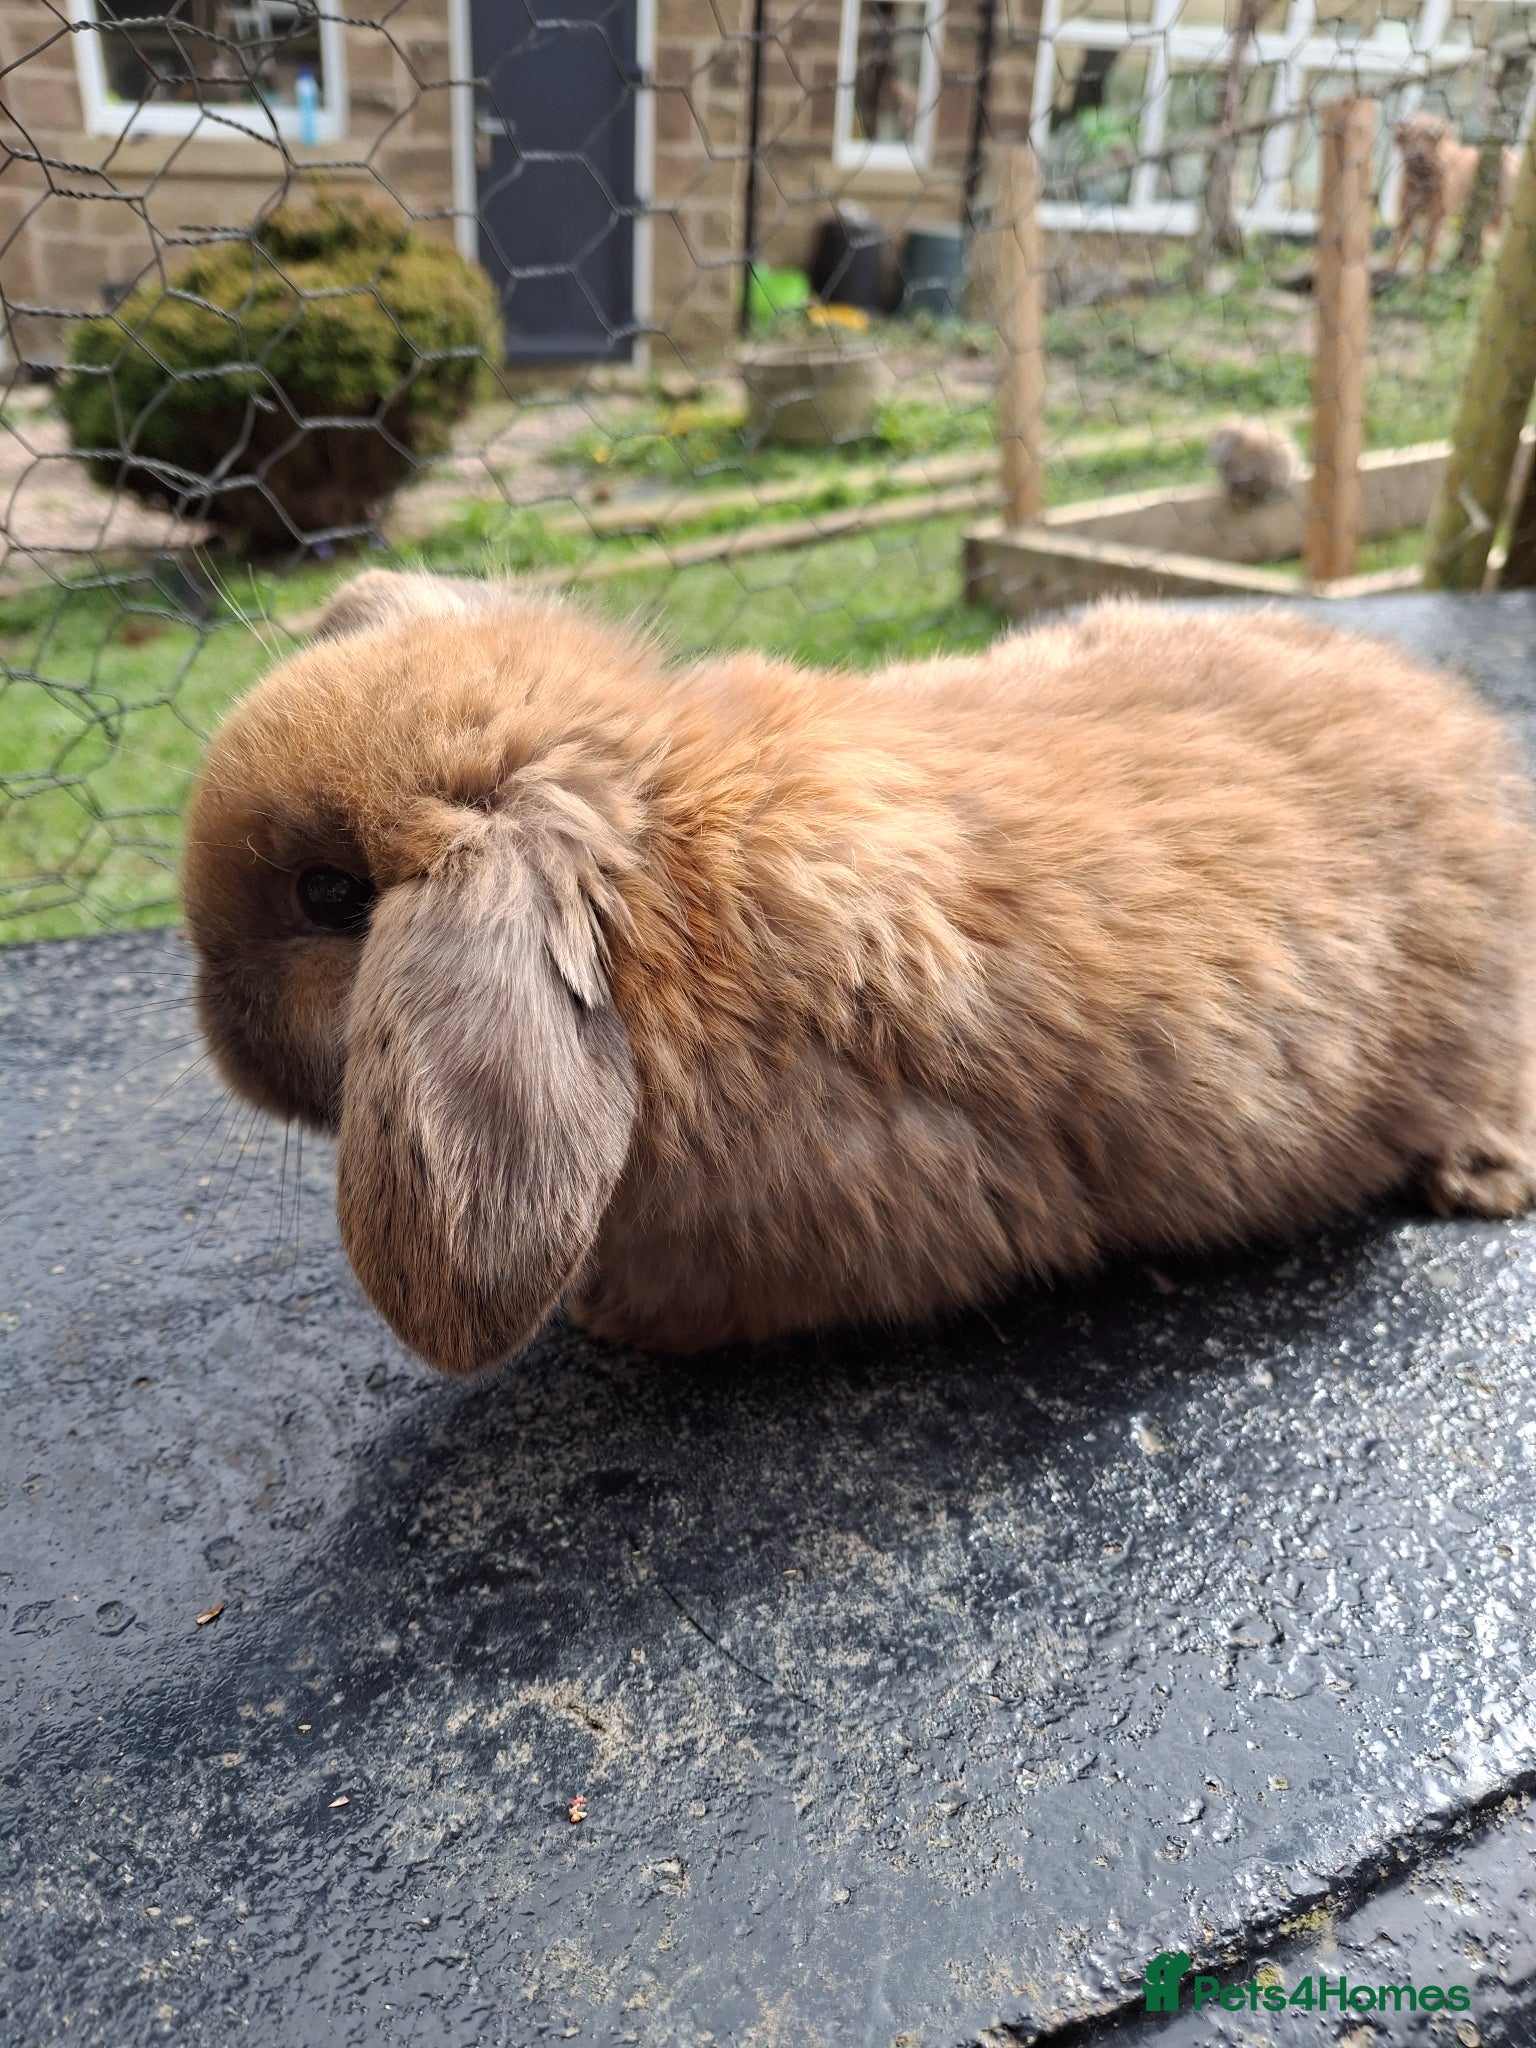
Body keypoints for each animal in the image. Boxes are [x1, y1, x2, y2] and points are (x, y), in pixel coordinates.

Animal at [182, 570, 1536, 1376]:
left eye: (330, 896)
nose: (216, 1027)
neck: (667, 875)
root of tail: (1475, 745)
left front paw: (604, 1319)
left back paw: (1482, 1173)